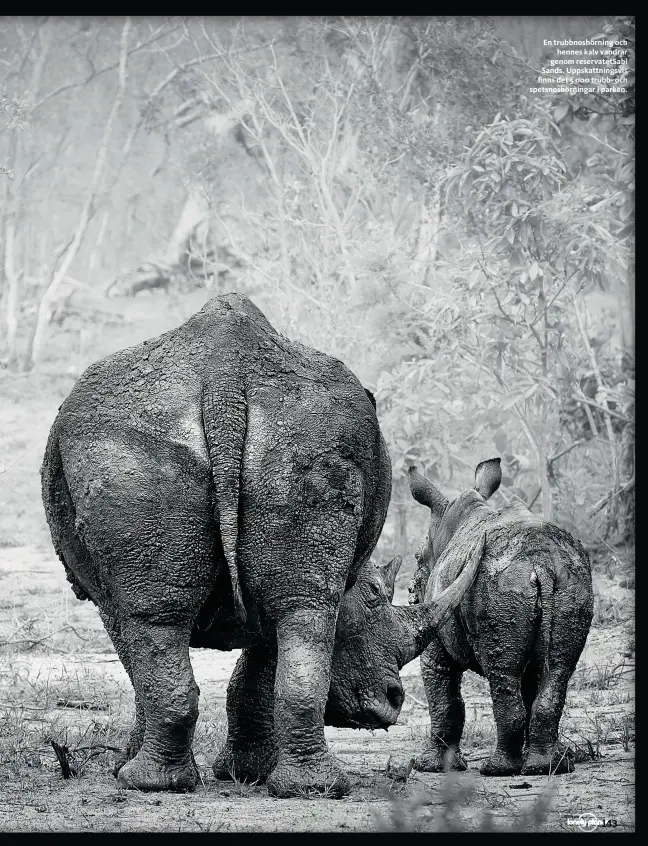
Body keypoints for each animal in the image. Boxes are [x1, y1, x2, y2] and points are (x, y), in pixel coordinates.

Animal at [40, 294, 476, 800]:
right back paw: (297, 788)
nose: (393, 701)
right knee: (287, 608)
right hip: (275, 439)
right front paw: (241, 772)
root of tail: (224, 376)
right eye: (373, 599)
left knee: (183, 616)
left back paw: (155, 783)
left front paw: (238, 772)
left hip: (210, 441)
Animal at [408, 460, 596, 780]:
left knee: (502, 673)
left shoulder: (437, 622)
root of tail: (540, 562)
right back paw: (548, 767)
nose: (411, 596)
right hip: (572, 580)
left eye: (419, 559)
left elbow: (443, 694)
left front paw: (430, 766)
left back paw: (496, 770)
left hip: (500, 585)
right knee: (557, 670)